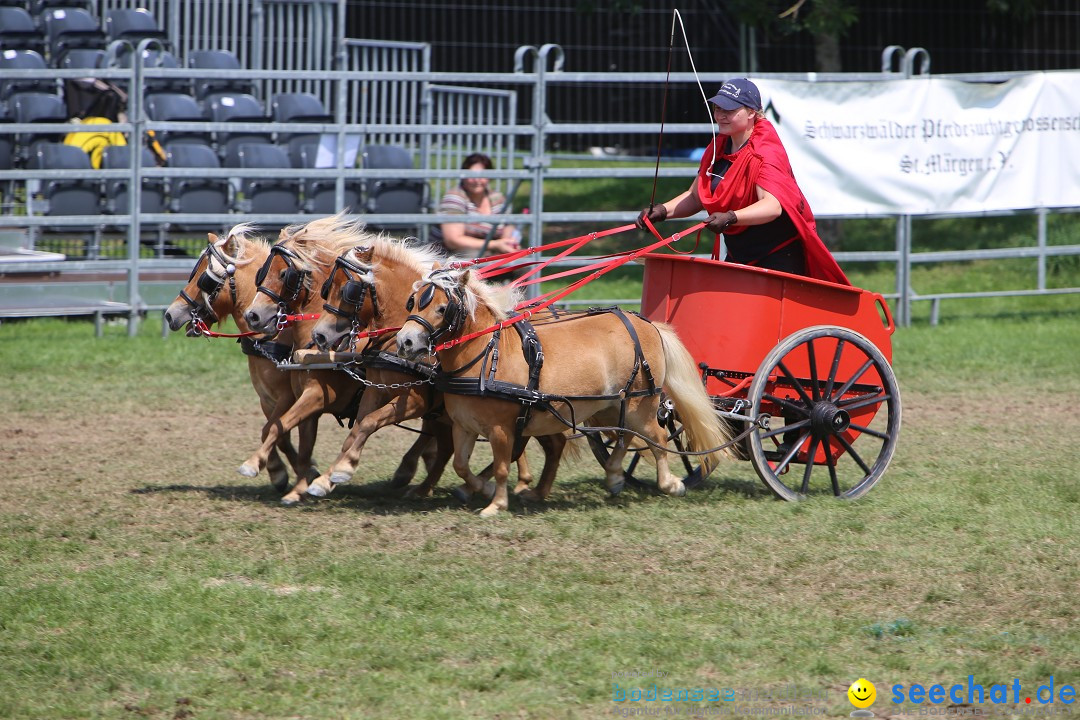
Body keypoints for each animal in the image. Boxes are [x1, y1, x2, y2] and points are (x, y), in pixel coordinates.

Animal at [162, 226, 317, 496]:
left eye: (204, 279)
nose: (171, 314)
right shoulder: (266, 398)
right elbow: (278, 433)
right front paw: (284, 471)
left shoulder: (288, 396)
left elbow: (272, 429)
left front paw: (286, 470)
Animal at [306, 235, 565, 500]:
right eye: (327, 288)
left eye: (348, 290)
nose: (319, 335)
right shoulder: (375, 390)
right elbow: (357, 428)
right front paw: (327, 478)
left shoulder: (416, 401)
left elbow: (369, 423)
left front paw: (342, 470)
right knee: (540, 443)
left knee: (547, 443)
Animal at [397, 264, 734, 518]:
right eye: (411, 302)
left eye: (442, 308)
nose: (405, 342)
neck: (486, 355)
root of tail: (647, 324)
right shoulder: (463, 426)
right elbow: (461, 465)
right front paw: (483, 489)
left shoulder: (501, 429)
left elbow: (503, 467)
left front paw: (496, 504)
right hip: (614, 404)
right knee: (625, 436)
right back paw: (614, 475)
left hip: (644, 403)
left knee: (658, 438)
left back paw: (670, 484)